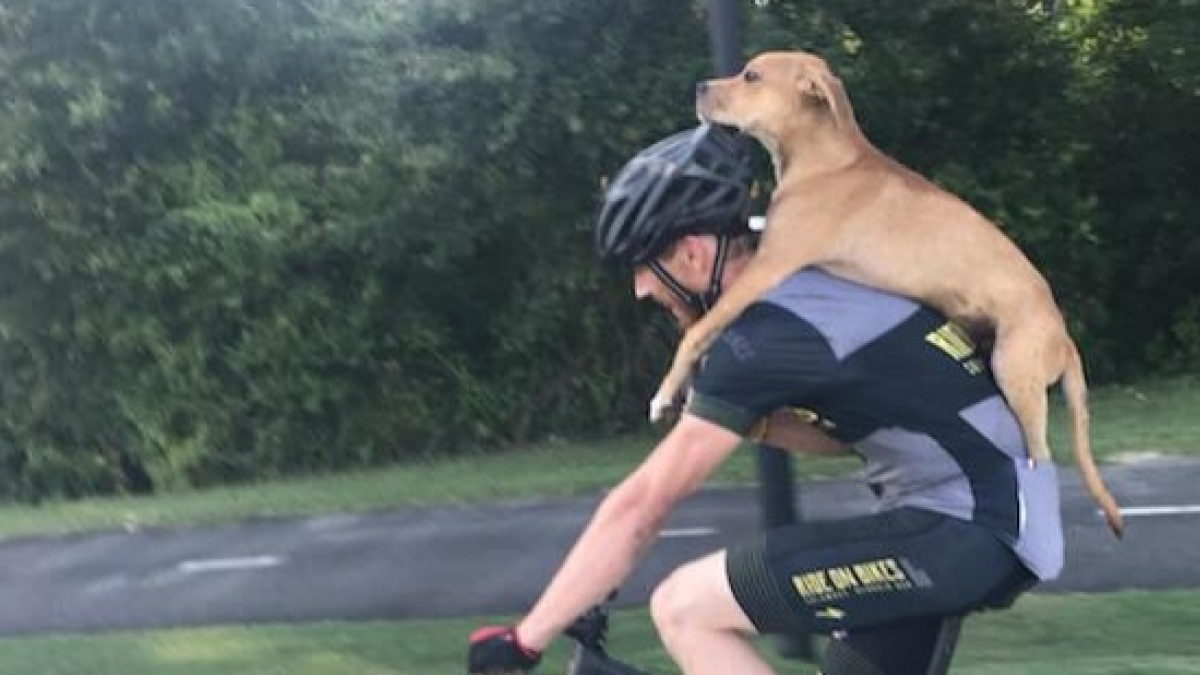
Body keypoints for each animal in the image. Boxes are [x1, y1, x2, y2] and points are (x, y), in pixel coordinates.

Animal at [657, 49, 1123, 533]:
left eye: (751, 76)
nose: (699, 87)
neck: (823, 163)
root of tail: (1063, 338)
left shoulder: (768, 268)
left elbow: (697, 331)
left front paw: (666, 393)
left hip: (1016, 374)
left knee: (1040, 457)